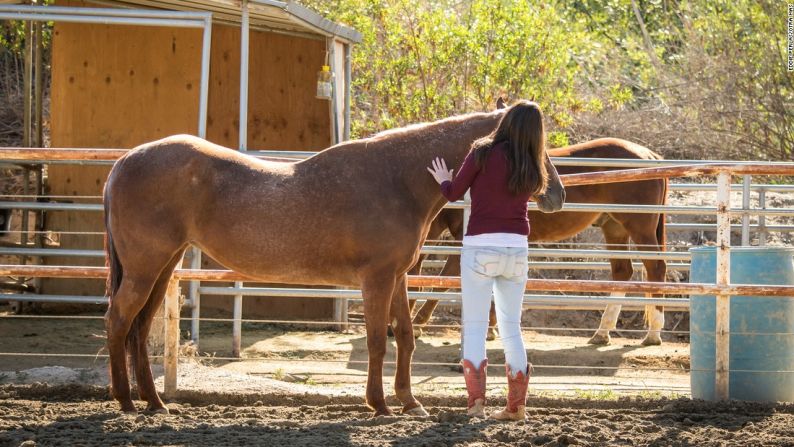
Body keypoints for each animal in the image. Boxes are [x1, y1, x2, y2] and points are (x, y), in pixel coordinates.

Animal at [103, 108, 564, 416]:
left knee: (139, 327)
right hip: (146, 267)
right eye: (529, 145)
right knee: (119, 320)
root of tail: (125, 161)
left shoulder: (397, 277)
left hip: (163, 266)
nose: (555, 194)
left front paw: (410, 402)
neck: (397, 179)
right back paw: (126, 400)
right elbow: (377, 340)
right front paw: (380, 405)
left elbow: (406, 337)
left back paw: (154, 401)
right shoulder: (376, 279)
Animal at [408, 139, 668, 346]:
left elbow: (443, 281)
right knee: (622, 272)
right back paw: (602, 332)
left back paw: (653, 333)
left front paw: (418, 323)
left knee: (656, 268)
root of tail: (649, 156)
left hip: (640, 229)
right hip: (614, 229)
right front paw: (492, 328)